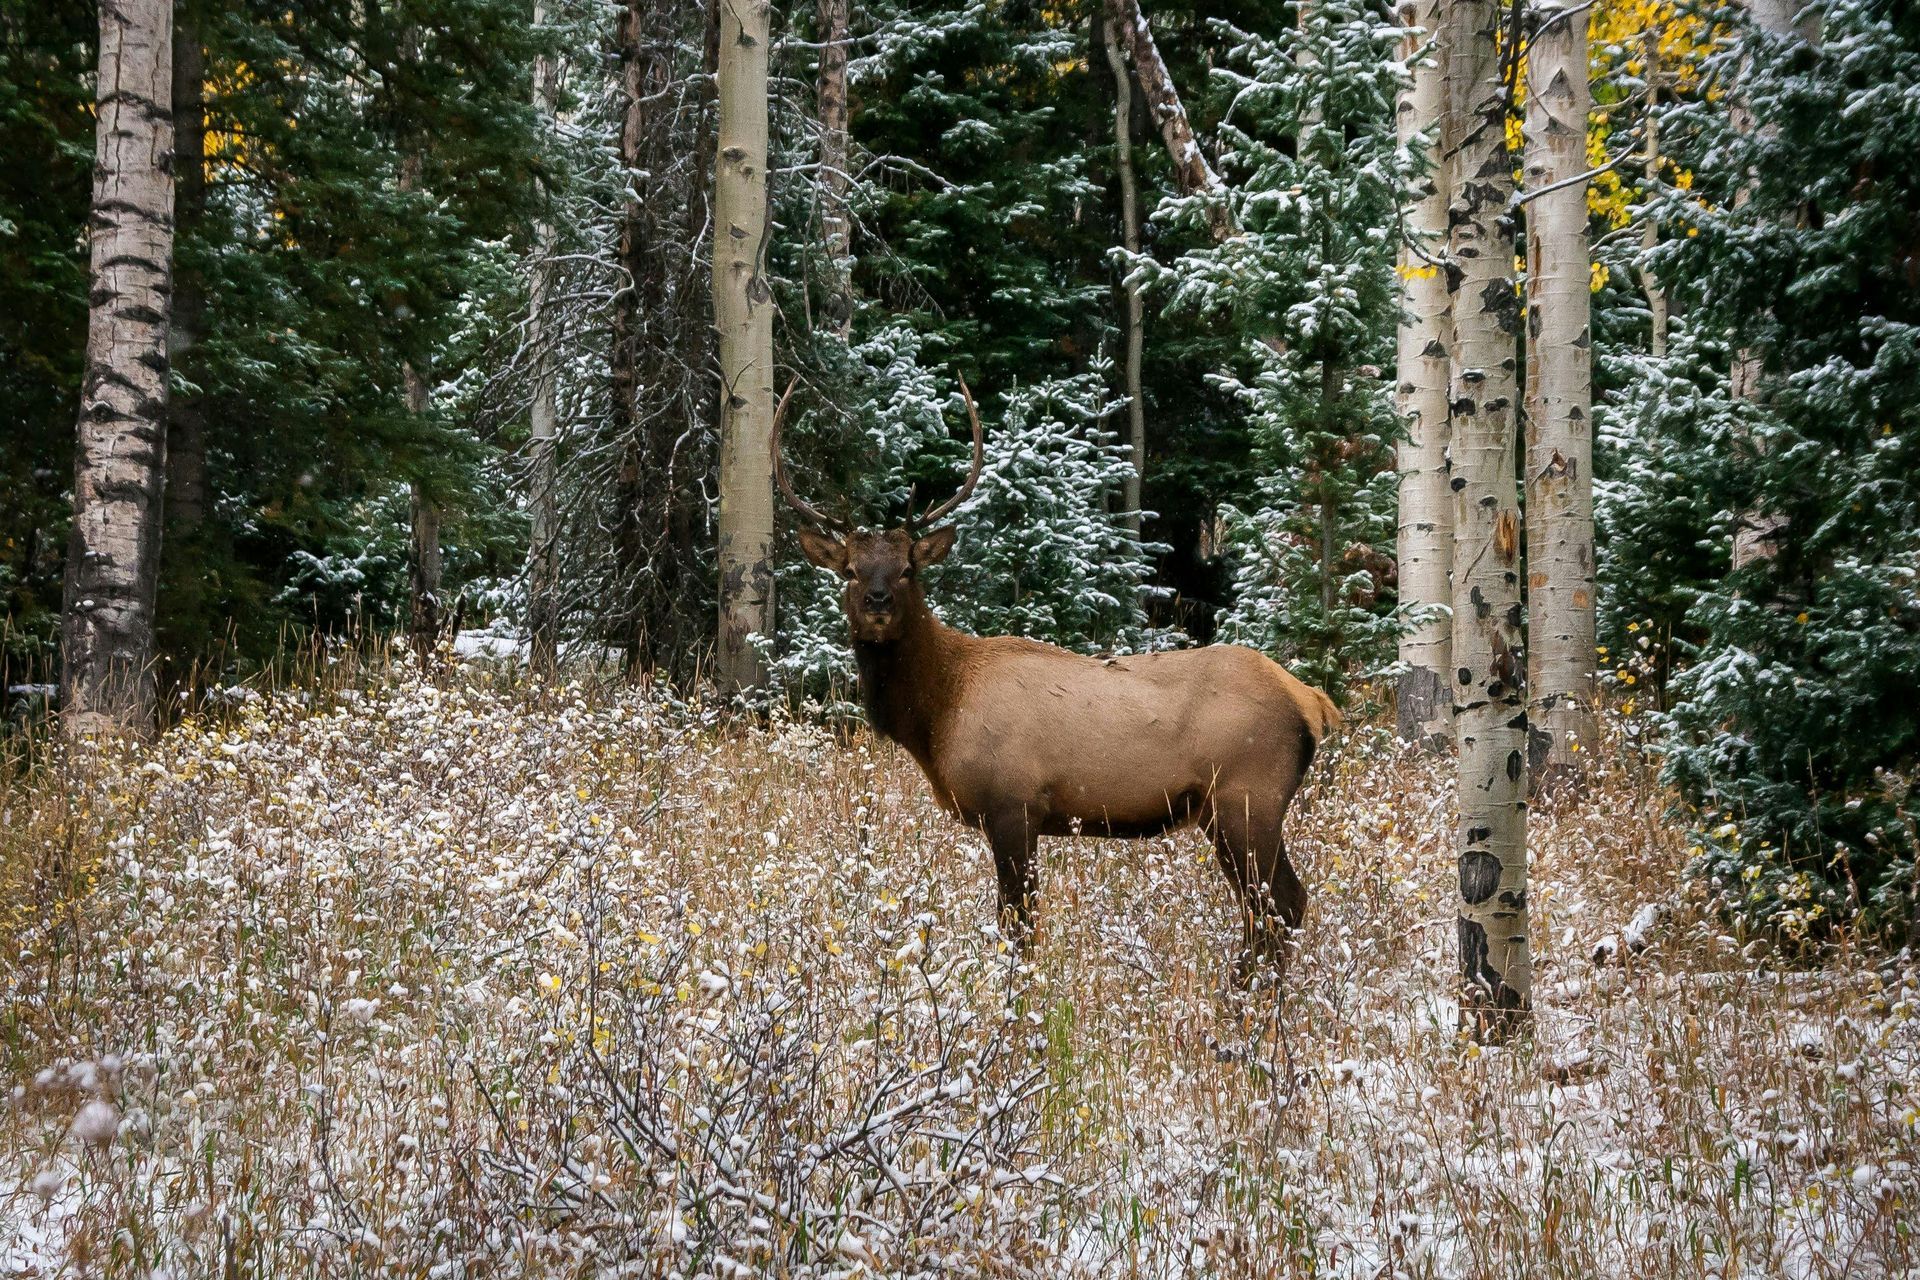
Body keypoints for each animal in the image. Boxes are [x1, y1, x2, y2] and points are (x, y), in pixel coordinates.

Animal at [774, 374, 1339, 983]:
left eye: (908, 568)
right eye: (850, 570)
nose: (877, 602)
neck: (938, 710)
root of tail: (1312, 702)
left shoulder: (1013, 804)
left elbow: (1018, 926)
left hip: (1248, 796)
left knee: (1280, 903)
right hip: (1226, 810)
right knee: (1276, 906)